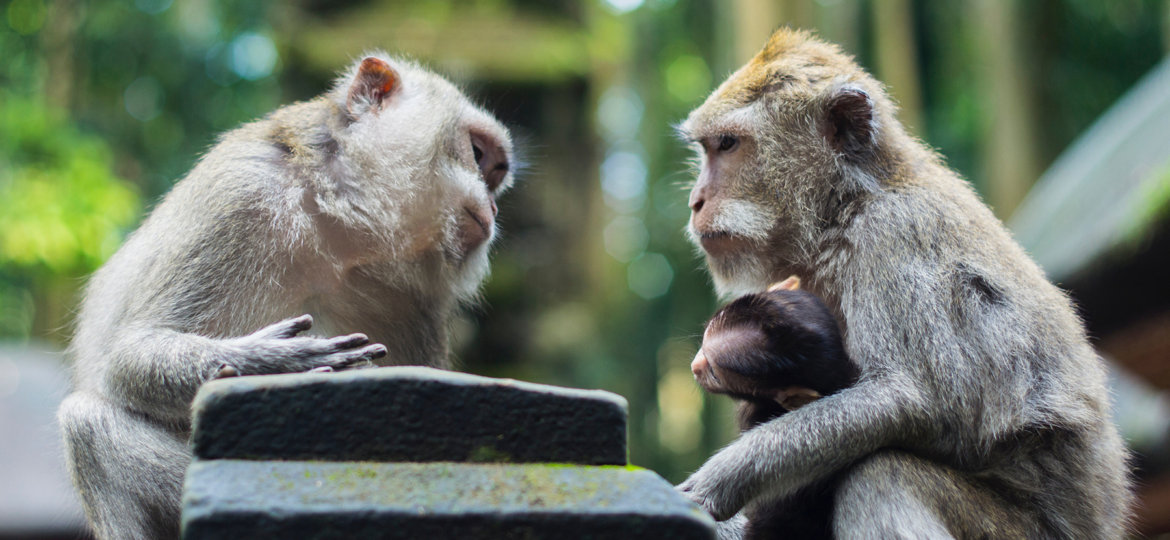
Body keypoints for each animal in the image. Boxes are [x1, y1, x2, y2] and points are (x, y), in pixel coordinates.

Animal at [55, 55, 512, 540]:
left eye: (496, 174)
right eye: (477, 154)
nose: (494, 208)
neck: (337, 228)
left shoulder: (419, 296)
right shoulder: (240, 194)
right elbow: (128, 357)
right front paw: (276, 361)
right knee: (87, 424)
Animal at [683, 30, 1127, 540]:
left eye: (728, 145)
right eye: (708, 148)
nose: (696, 201)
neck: (847, 206)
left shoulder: (890, 237)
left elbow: (906, 399)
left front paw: (719, 482)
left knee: (882, 475)